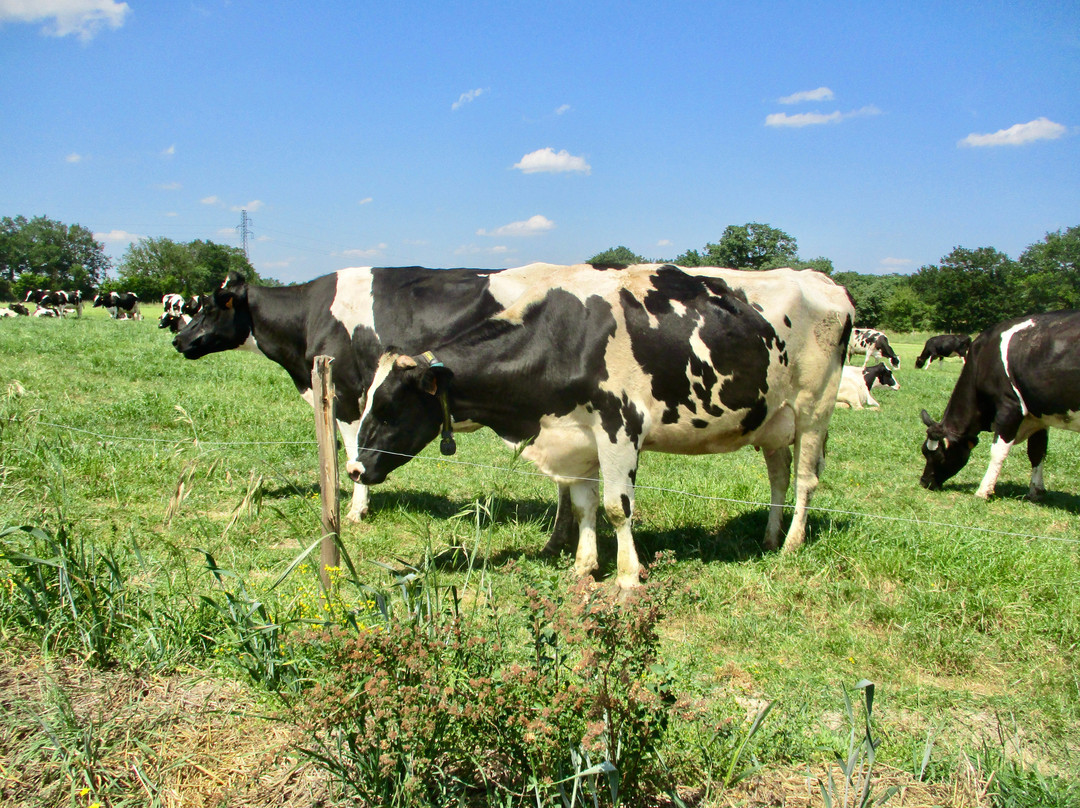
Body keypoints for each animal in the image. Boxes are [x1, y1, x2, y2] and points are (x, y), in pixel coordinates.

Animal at [172, 262, 557, 520]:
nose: (178, 340)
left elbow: (353, 448)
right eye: (196, 305)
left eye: (209, 307)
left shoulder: (344, 393)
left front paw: (357, 507)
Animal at [349, 263, 855, 587]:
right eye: (365, 400)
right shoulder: (578, 437)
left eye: (390, 408)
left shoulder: (620, 426)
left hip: (814, 409)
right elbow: (583, 506)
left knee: (805, 479)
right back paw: (769, 536)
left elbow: (616, 507)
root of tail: (822, 279)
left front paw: (629, 578)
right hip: (772, 419)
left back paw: (791, 544)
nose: (354, 469)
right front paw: (584, 567)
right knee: (778, 477)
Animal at [920, 308, 1080, 499]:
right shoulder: (1038, 415)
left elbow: (998, 452)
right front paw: (1036, 491)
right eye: (923, 451)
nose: (924, 481)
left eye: (938, 455)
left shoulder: (1010, 407)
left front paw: (983, 491)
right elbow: (1037, 451)